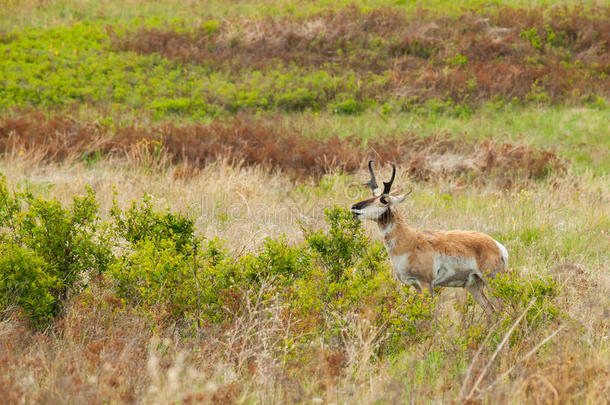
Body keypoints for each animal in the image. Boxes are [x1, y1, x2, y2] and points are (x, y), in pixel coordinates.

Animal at [350, 161, 506, 312]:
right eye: (372, 195)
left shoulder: (426, 283)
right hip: (473, 285)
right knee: (491, 311)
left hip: (492, 282)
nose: (354, 207)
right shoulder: (416, 286)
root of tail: (496, 245)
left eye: (384, 200)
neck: (410, 241)